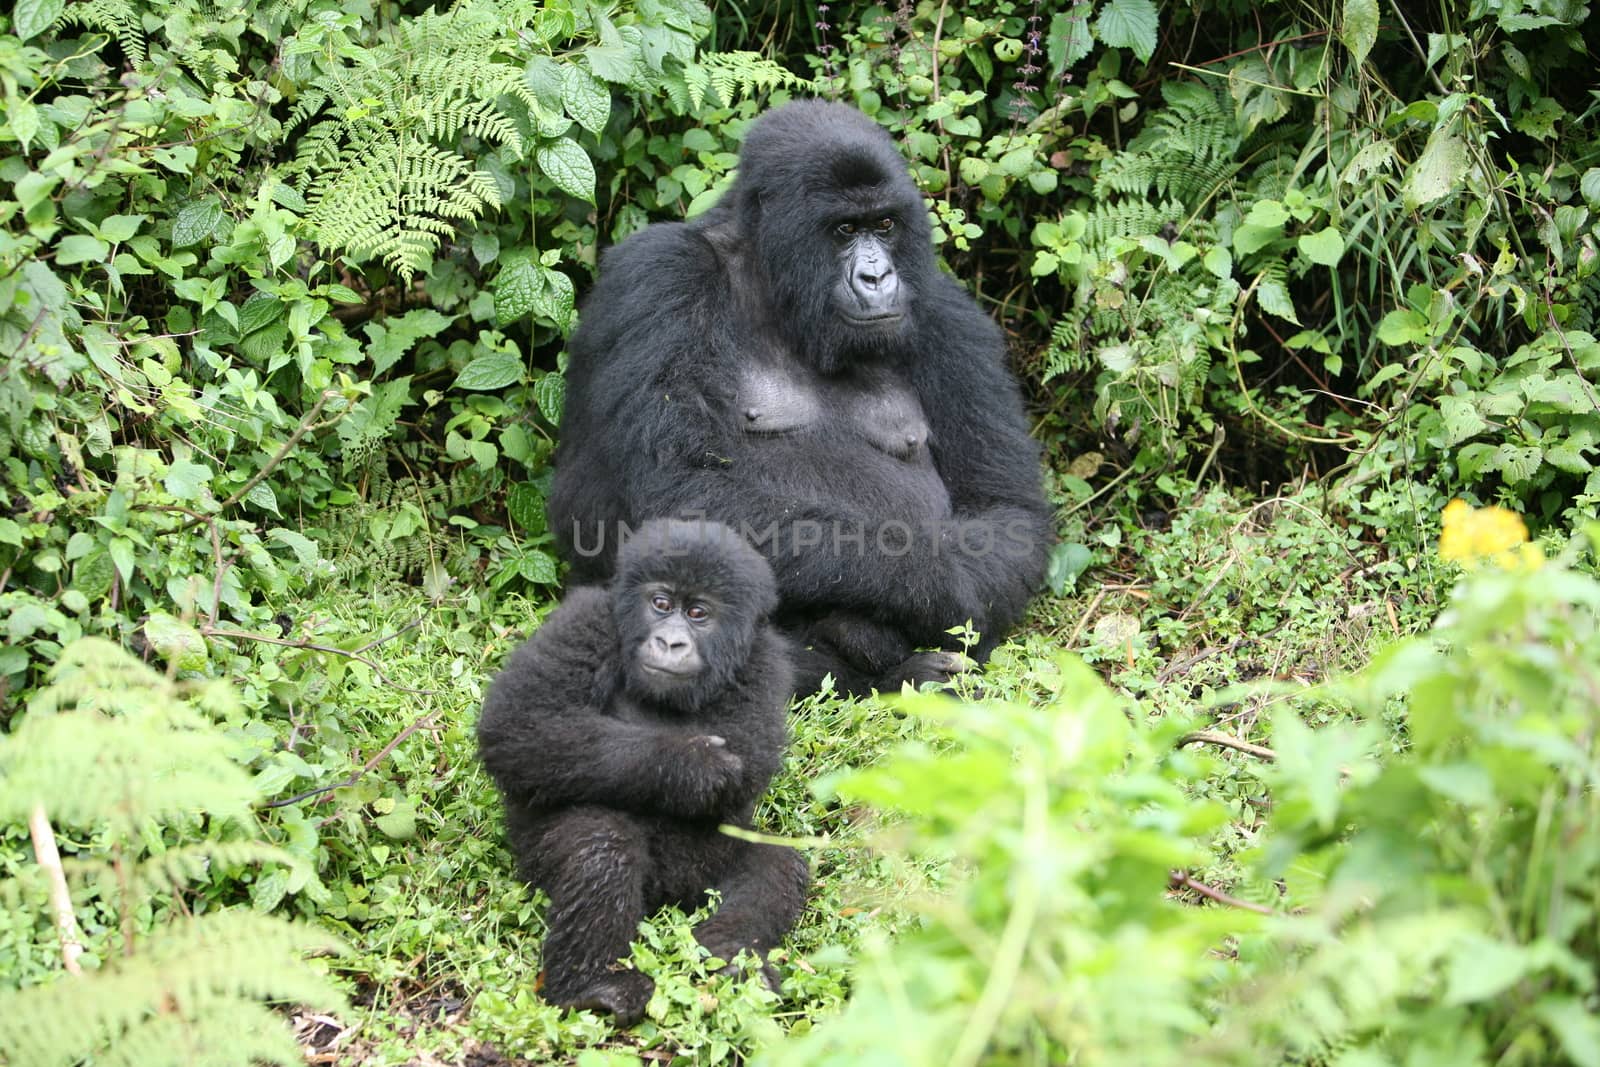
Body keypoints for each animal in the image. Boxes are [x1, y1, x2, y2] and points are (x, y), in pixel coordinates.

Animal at [470, 518, 800, 1023]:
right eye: (660, 604)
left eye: (698, 613)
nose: (670, 641)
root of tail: (668, 900)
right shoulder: (585, 620)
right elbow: (522, 723)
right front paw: (691, 764)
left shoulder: (766, 659)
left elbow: (752, 756)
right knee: (601, 848)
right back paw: (593, 984)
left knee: (776, 865)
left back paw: (733, 964)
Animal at [550, 102, 1049, 700]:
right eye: (844, 230)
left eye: (885, 225)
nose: (878, 276)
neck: (773, 281)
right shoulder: (660, 273)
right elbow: (681, 489)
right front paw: (938, 582)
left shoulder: (946, 311)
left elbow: (1006, 512)